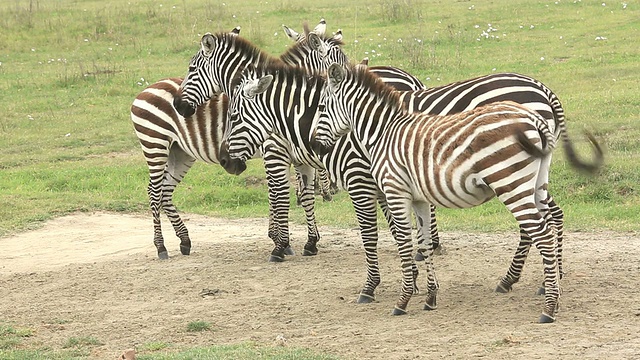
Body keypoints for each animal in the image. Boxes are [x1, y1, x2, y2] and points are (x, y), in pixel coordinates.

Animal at [312, 62, 604, 324]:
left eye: (321, 107)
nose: (315, 144)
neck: (384, 131)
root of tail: (537, 109)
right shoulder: (418, 197)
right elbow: (424, 242)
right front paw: (430, 297)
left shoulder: (393, 190)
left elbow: (402, 242)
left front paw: (401, 300)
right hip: (536, 181)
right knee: (550, 220)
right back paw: (548, 287)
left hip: (509, 181)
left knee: (540, 233)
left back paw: (548, 307)